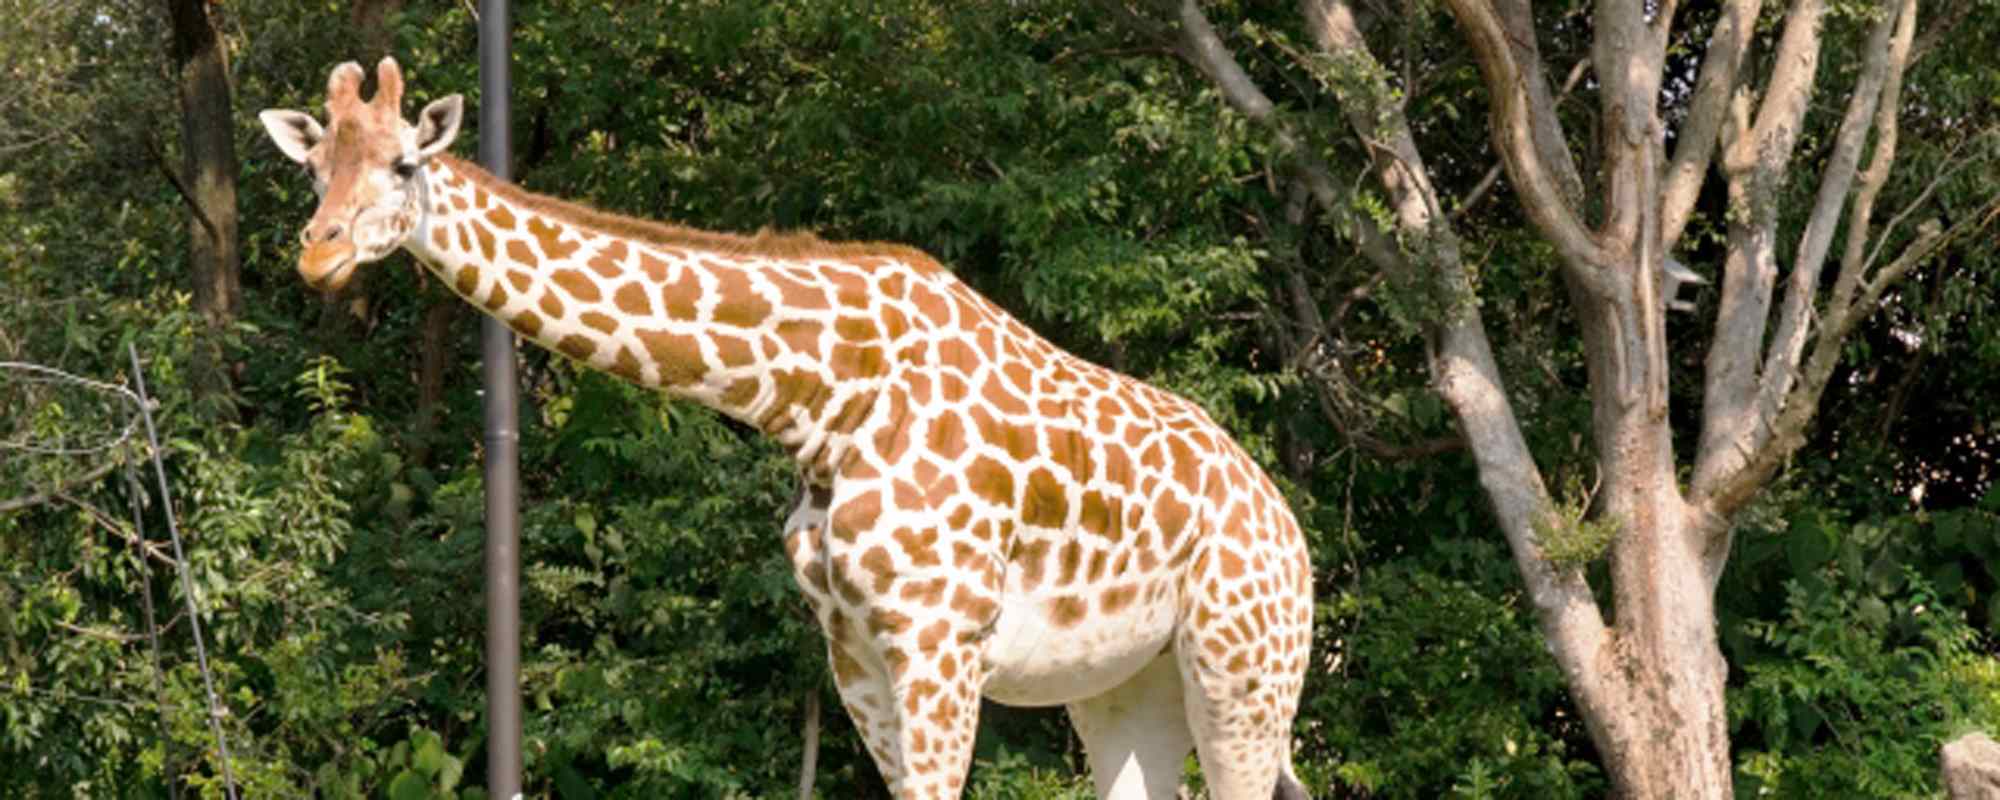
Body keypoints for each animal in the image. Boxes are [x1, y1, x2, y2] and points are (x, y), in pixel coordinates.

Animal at [262, 57, 1312, 800]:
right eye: (313, 170)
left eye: (404, 163)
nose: (318, 257)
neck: (820, 399)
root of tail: (1287, 525)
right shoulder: (855, 652)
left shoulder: (940, 640)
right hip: (1122, 685)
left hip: (1244, 671)